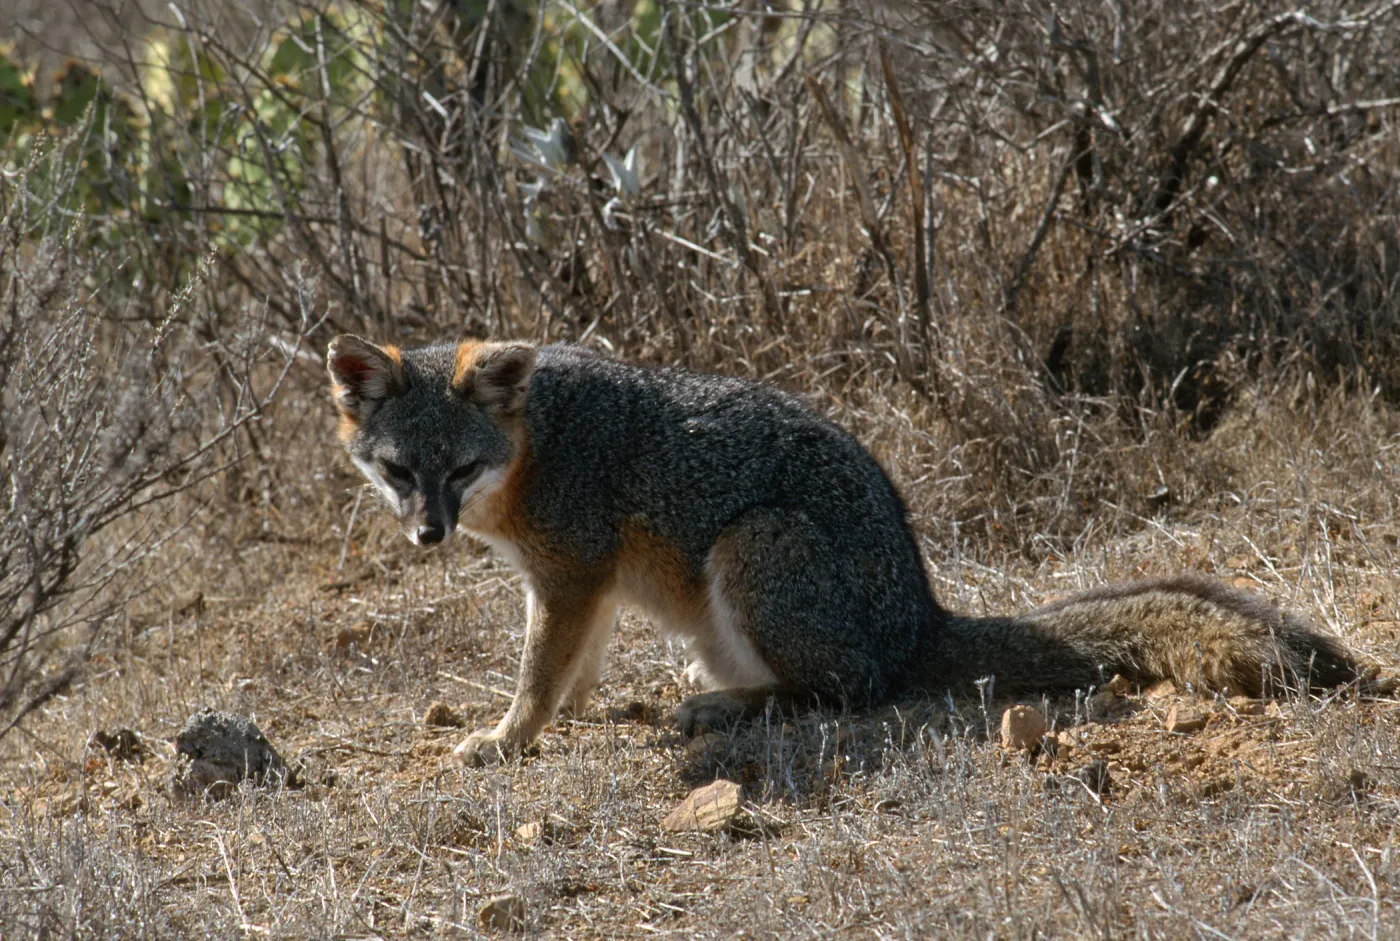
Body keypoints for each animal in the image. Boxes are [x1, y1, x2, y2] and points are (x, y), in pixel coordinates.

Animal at [327, 334, 1384, 765]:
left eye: (461, 468)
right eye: (399, 472)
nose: (428, 533)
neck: (536, 438)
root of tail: (921, 614)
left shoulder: (572, 572)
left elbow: (539, 674)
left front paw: (508, 737)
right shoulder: (577, 583)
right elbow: (570, 666)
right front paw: (570, 712)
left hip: (755, 543)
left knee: (844, 692)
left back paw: (727, 705)